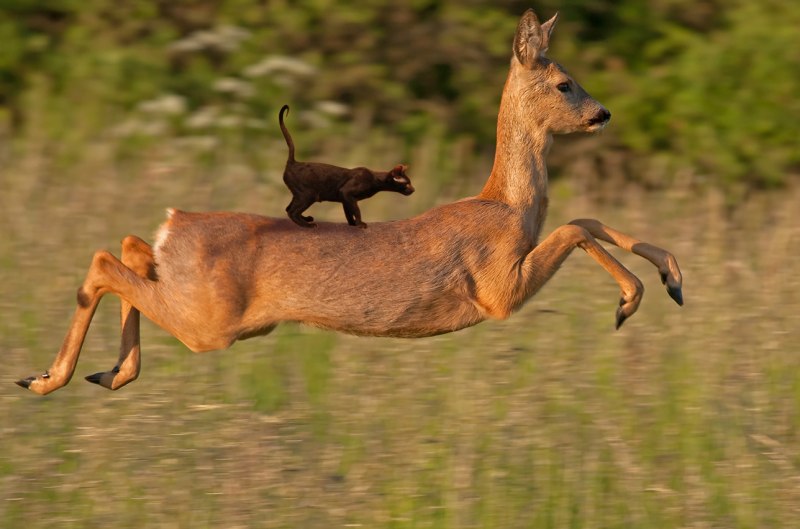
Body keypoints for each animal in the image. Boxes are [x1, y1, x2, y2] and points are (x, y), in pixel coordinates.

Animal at [15, 9, 680, 396]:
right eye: (565, 83)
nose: (603, 113)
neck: (506, 206)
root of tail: (175, 224)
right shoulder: (498, 290)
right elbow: (573, 226)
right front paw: (630, 301)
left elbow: (586, 217)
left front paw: (672, 276)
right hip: (209, 323)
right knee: (106, 262)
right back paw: (47, 379)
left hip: (194, 298)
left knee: (128, 250)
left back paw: (101, 373)